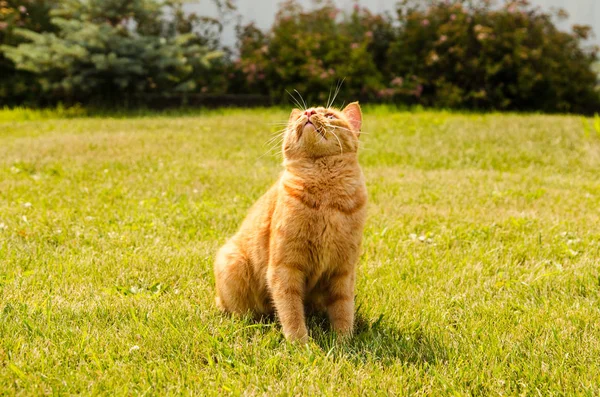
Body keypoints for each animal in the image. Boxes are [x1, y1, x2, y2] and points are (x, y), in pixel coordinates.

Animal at [213, 101, 368, 340]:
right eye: (303, 113)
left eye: (330, 116)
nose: (309, 113)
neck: (325, 196)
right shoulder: (285, 268)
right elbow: (291, 311)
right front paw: (300, 343)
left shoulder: (342, 271)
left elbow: (343, 309)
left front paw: (343, 340)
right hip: (231, 262)